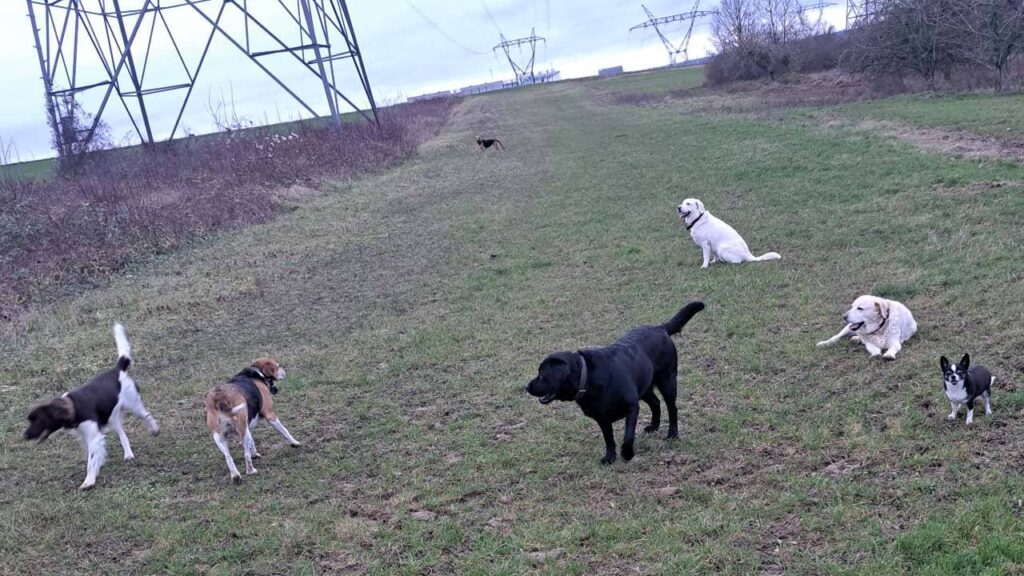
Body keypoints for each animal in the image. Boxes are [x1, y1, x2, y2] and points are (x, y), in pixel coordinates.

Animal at [23, 323, 158, 487]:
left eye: (38, 420)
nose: (25, 435)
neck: (74, 407)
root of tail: (117, 369)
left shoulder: (93, 437)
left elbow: (91, 461)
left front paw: (89, 481)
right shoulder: (85, 436)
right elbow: (93, 457)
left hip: (133, 404)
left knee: (146, 415)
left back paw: (154, 429)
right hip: (112, 417)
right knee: (123, 434)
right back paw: (128, 454)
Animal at [528, 301, 704, 461]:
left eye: (541, 376)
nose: (527, 387)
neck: (587, 378)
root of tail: (660, 328)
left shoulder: (632, 407)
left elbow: (628, 436)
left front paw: (627, 454)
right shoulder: (602, 418)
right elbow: (609, 439)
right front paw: (610, 457)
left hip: (667, 382)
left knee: (672, 408)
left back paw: (672, 434)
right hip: (644, 388)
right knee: (655, 403)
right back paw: (654, 426)